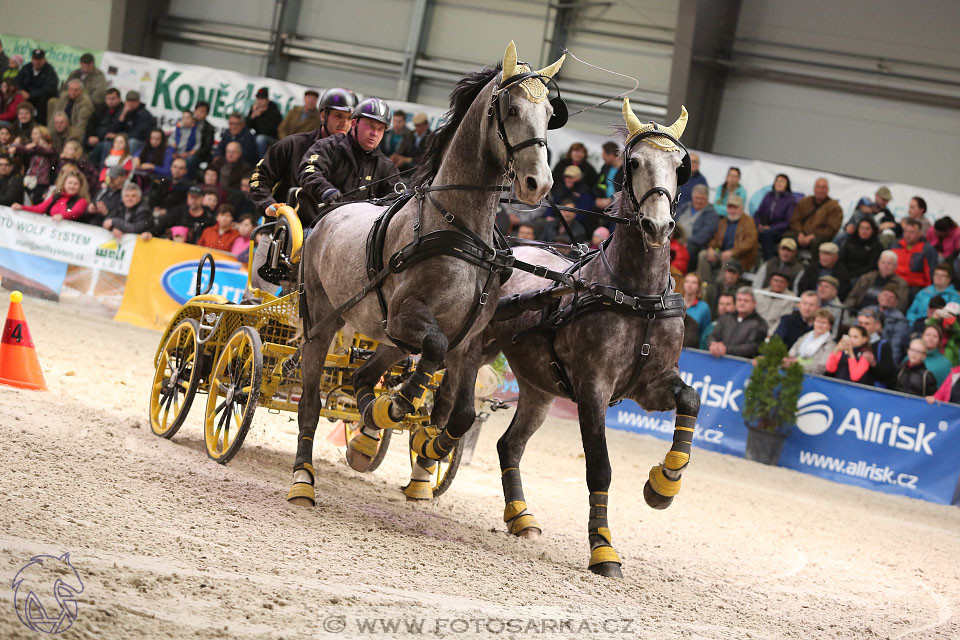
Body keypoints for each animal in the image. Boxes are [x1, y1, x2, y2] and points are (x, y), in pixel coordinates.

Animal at [288, 42, 568, 508]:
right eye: (511, 108)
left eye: (549, 112)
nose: (538, 184)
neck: (457, 228)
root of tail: (330, 214)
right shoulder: (408, 319)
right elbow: (432, 352)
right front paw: (400, 403)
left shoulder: (468, 340)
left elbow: (462, 413)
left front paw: (427, 442)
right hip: (324, 324)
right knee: (309, 404)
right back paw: (303, 480)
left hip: (386, 338)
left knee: (362, 377)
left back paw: (367, 429)